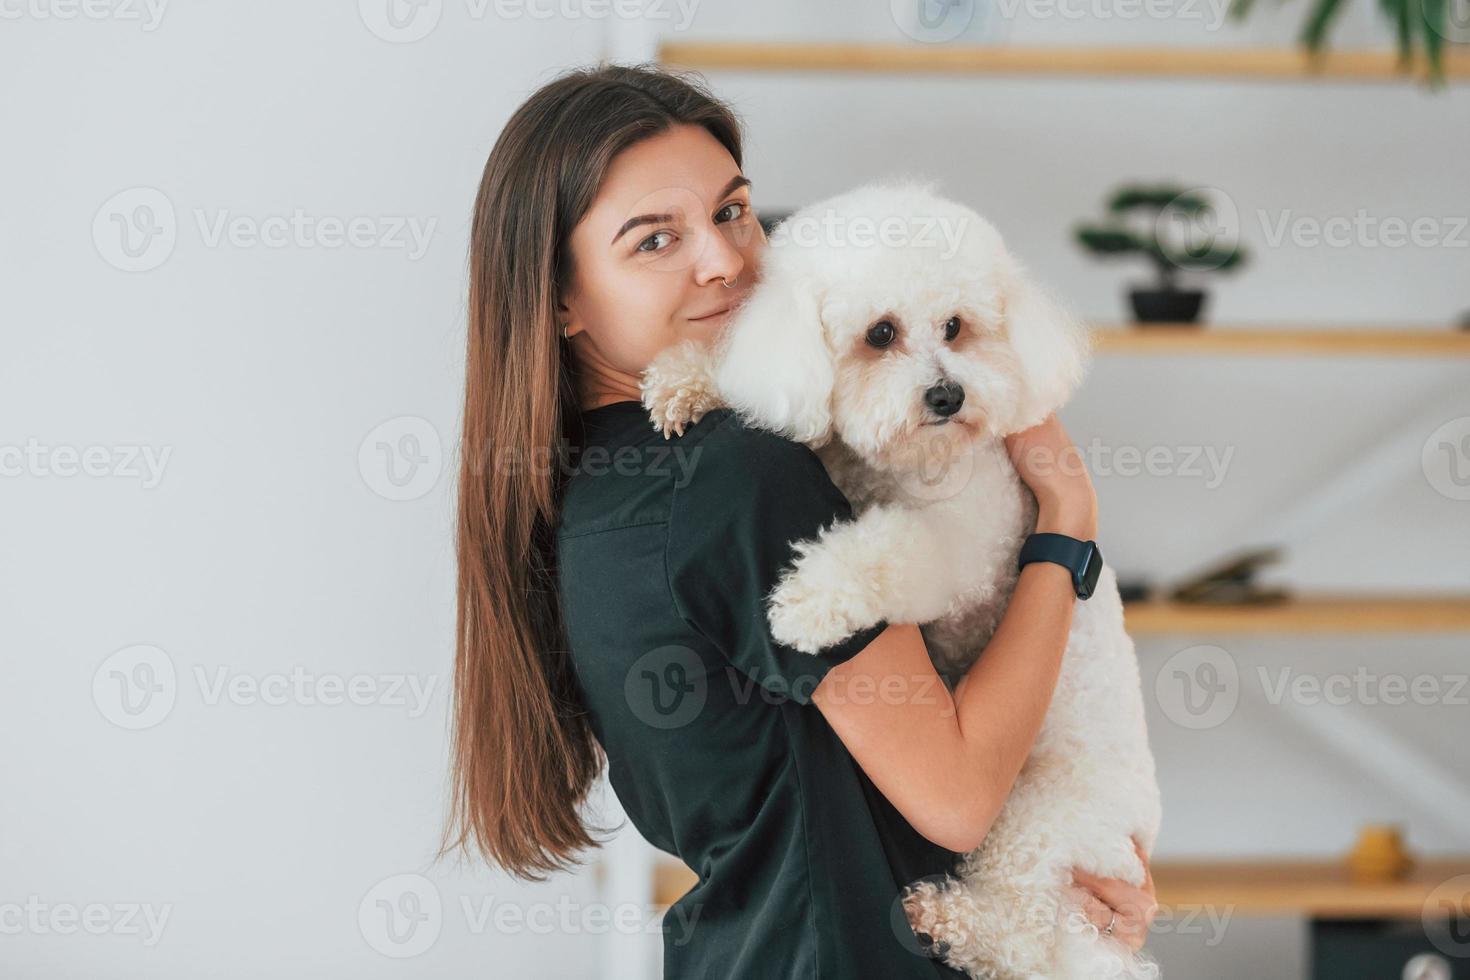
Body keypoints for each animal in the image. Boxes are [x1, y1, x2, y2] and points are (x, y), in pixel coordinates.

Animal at [640, 178, 1158, 980]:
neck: (899, 465)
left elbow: (892, 546)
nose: (948, 397)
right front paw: (687, 380)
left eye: (956, 326)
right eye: (880, 334)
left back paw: (952, 919)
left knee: (1026, 940)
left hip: (1033, 816)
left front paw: (808, 602)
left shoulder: (965, 554)